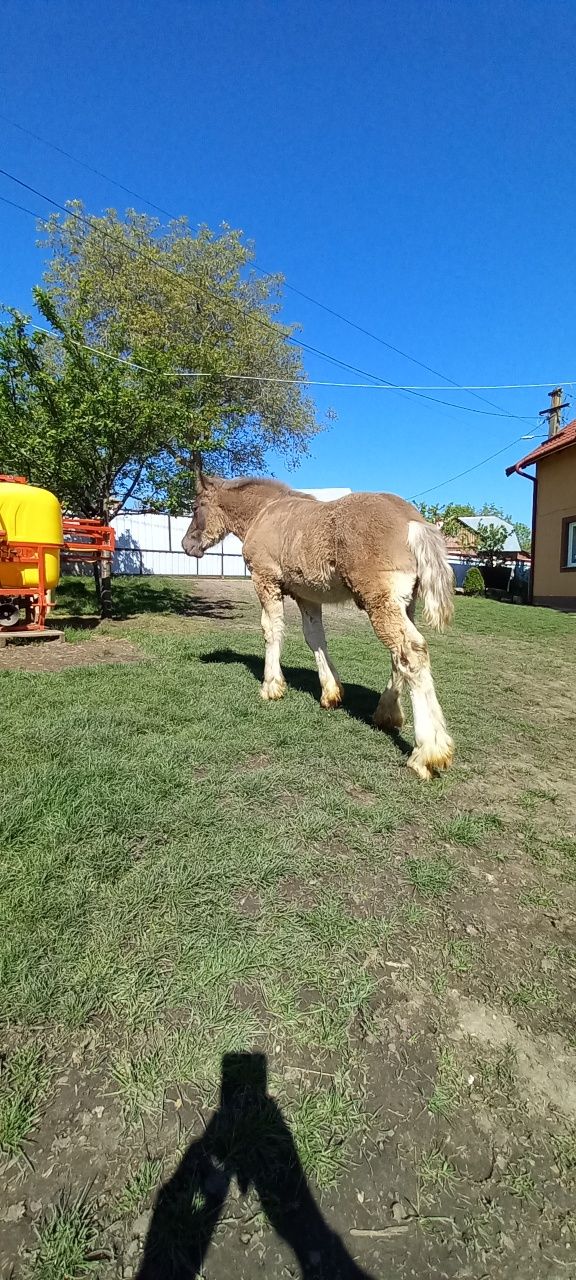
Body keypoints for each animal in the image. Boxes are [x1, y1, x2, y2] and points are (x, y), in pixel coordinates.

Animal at [184, 473, 455, 778]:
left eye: (195, 507)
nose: (186, 545)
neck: (264, 512)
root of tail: (414, 522)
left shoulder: (265, 580)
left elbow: (271, 630)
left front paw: (271, 687)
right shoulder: (307, 595)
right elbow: (314, 637)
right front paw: (331, 693)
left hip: (380, 601)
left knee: (410, 651)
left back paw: (427, 753)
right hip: (404, 604)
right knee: (399, 655)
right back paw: (387, 715)